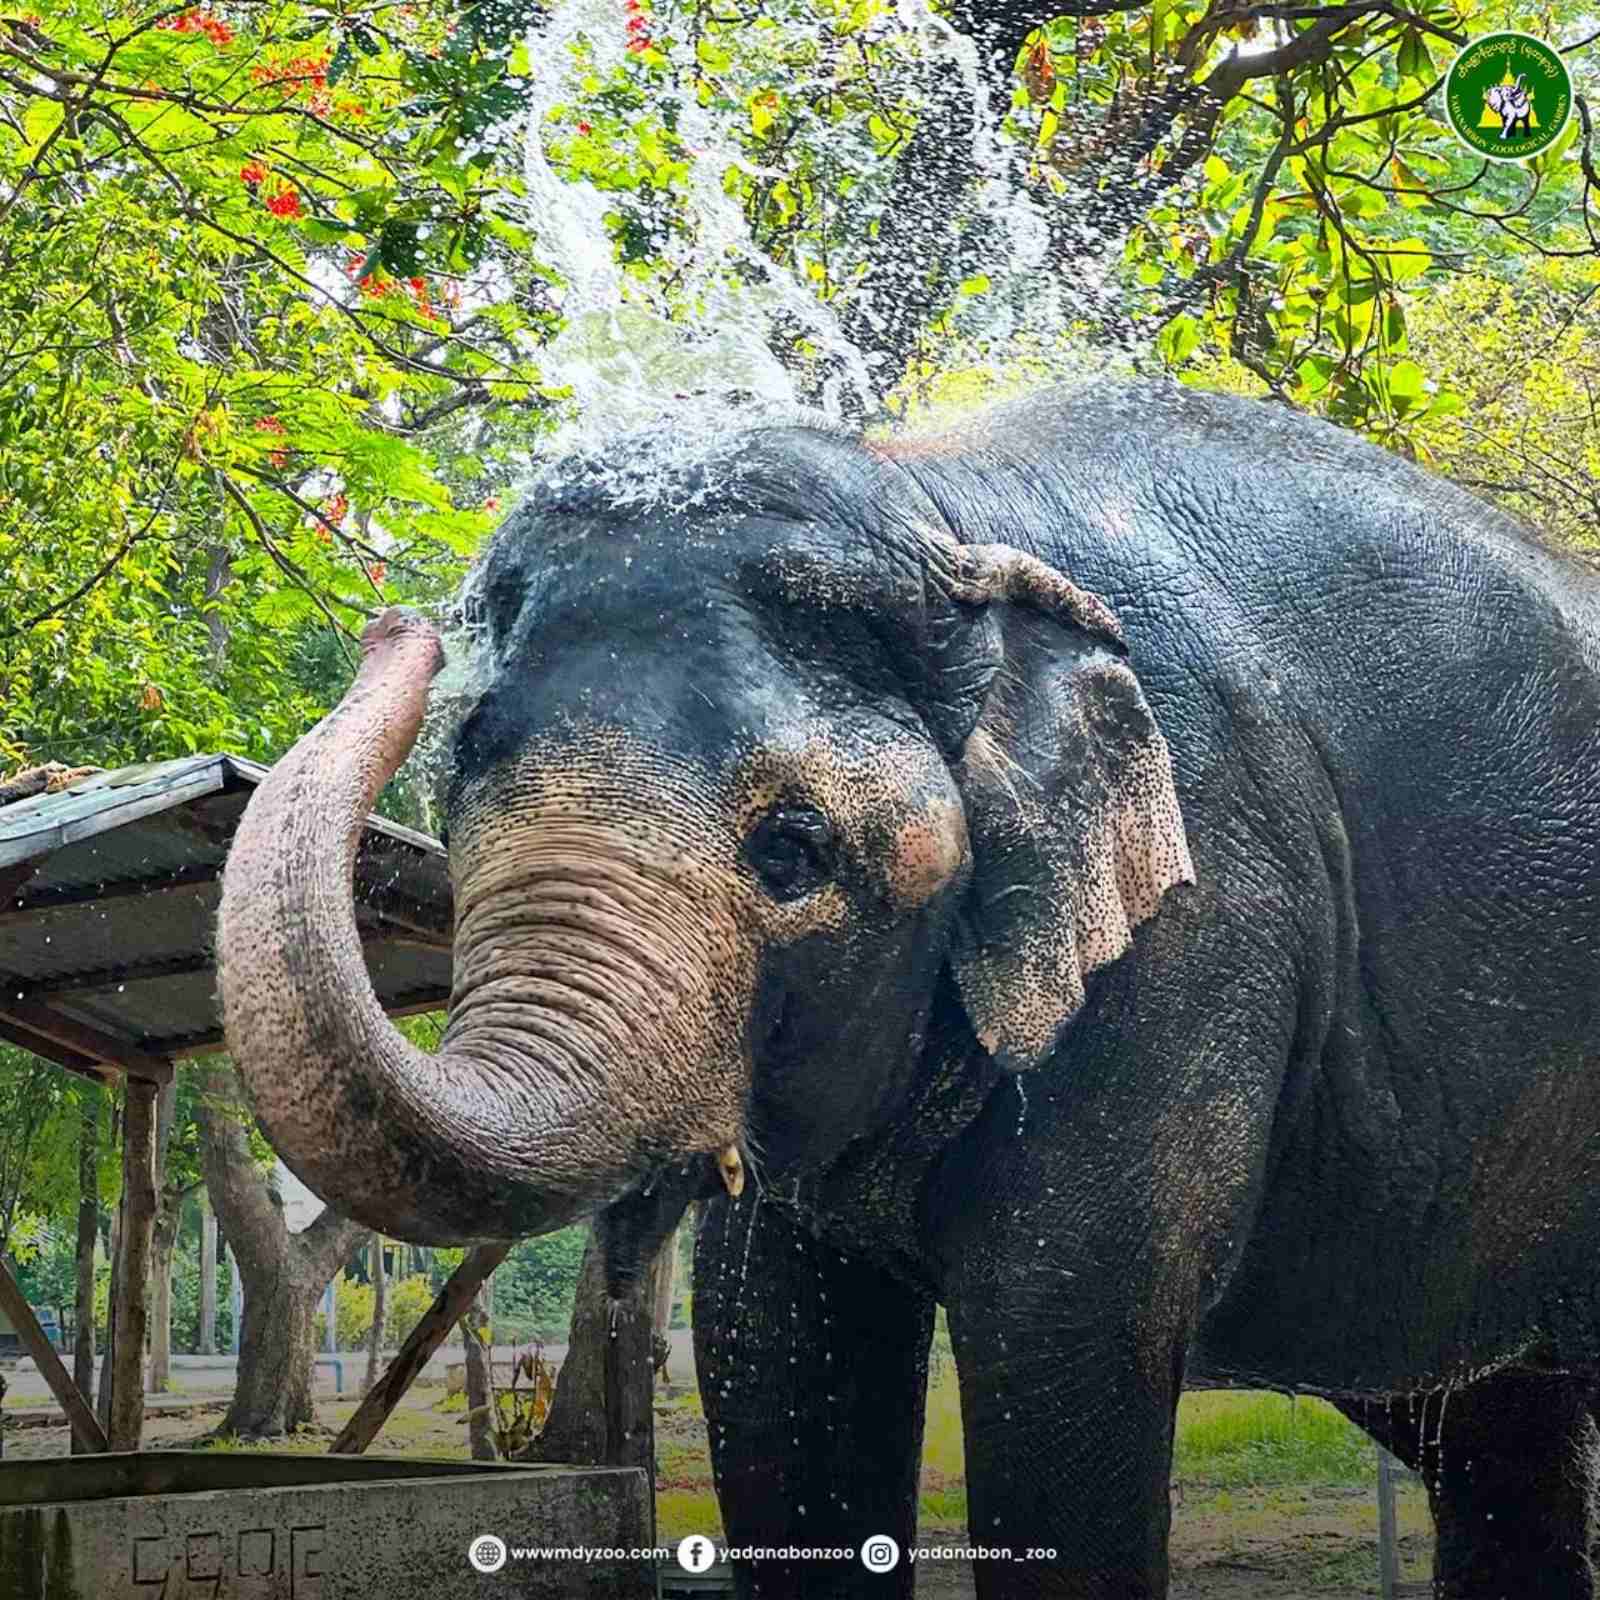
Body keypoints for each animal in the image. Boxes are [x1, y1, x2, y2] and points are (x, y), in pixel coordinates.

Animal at [218, 380, 1600, 1599]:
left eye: (791, 850)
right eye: (458, 789)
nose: (395, 628)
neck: (939, 501)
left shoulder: (1203, 925)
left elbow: (1062, 1335)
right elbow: (771, 1351)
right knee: (1497, 1440)